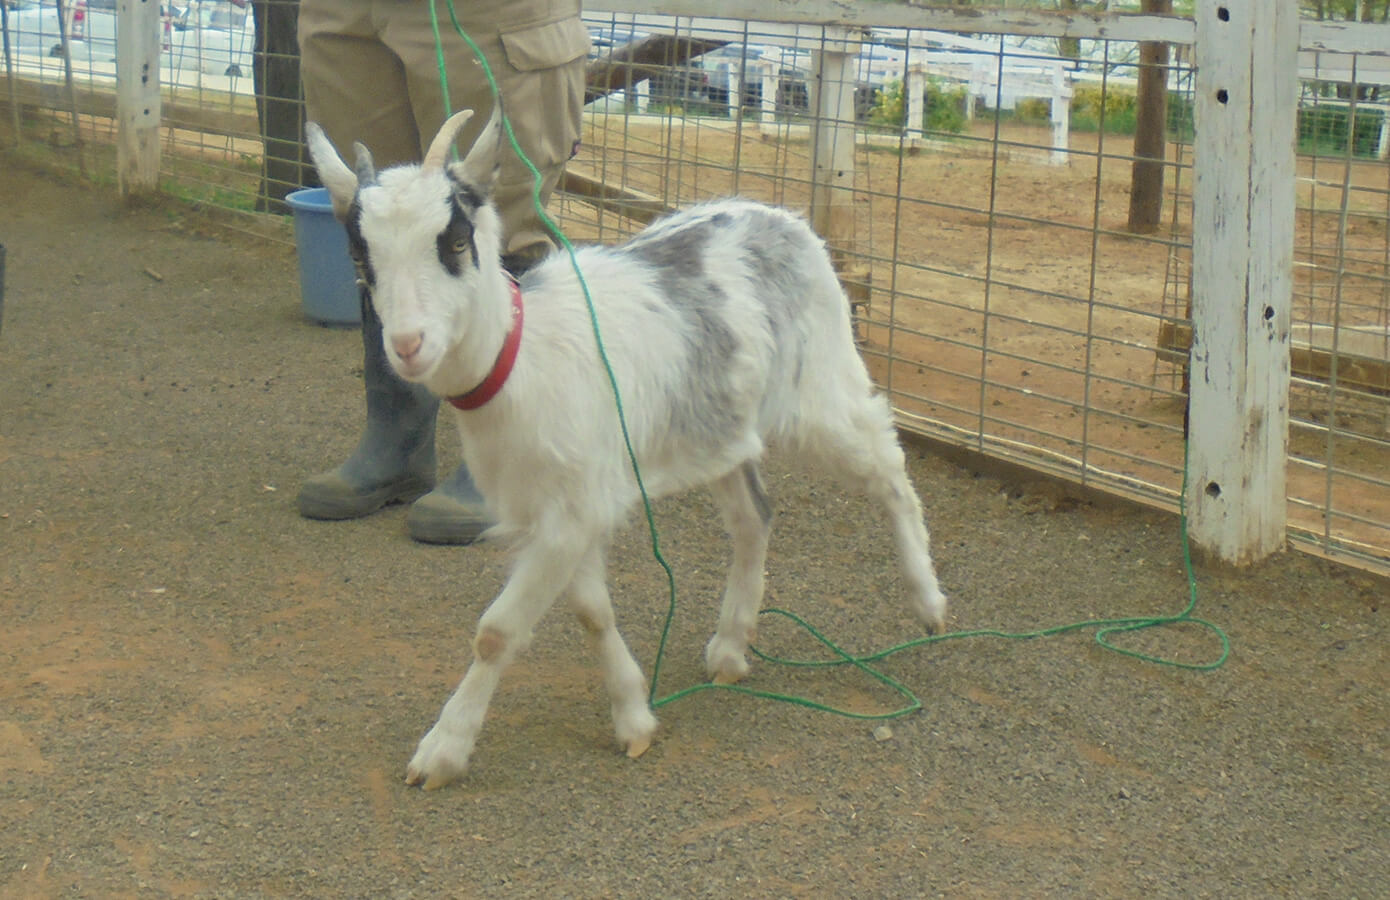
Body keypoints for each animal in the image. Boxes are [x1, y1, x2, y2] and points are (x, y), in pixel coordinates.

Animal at [308, 107, 950, 790]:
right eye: (358, 253)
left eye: (455, 242)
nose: (407, 346)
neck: (519, 357)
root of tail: (787, 221)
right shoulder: (563, 511)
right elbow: (592, 611)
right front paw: (635, 716)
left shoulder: (571, 511)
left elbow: (497, 632)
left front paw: (442, 751)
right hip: (720, 427)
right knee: (755, 518)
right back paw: (730, 647)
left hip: (818, 393)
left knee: (887, 462)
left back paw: (929, 604)